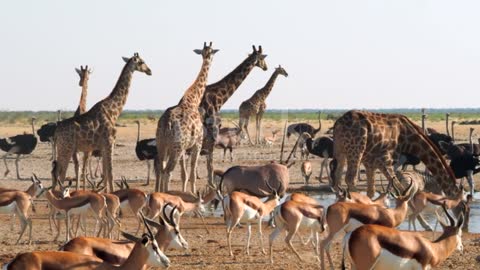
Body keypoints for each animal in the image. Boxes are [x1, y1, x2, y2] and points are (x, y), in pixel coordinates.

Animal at [52, 52, 151, 192]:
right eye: (142, 62)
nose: (150, 71)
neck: (114, 111)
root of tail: (56, 132)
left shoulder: (103, 146)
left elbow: (105, 173)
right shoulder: (109, 142)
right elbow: (110, 173)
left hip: (65, 149)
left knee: (58, 172)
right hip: (67, 148)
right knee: (61, 173)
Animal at [156, 42, 218, 193]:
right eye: (213, 52)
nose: (210, 59)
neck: (193, 99)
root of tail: (167, 123)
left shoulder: (185, 148)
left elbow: (184, 173)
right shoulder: (197, 143)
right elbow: (192, 172)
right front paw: (194, 193)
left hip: (162, 145)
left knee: (161, 169)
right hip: (176, 147)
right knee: (168, 171)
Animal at [198, 45, 266, 187]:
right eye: (262, 58)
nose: (266, 67)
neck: (218, 96)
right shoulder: (212, 128)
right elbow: (210, 162)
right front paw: (211, 184)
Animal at [330, 110, 462, 198]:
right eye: (460, 202)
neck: (409, 138)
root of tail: (338, 123)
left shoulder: (370, 161)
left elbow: (371, 191)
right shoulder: (385, 159)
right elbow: (401, 188)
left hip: (340, 151)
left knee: (337, 180)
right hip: (356, 150)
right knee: (349, 179)